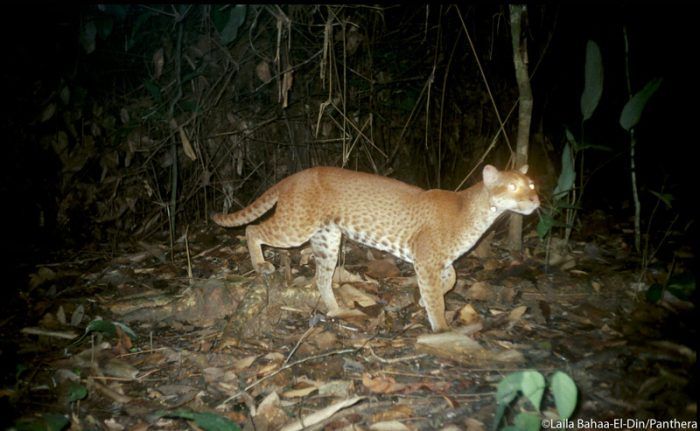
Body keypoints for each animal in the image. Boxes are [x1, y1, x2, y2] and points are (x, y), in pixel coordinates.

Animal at [211, 165, 540, 330]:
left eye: (532, 185)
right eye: (513, 187)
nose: (535, 200)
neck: (480, 211)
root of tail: (295, 175)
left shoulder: (438, 262)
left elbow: (450, 280)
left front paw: (422, 301)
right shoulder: (426, 261)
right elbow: (437, 296)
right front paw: (441, 328)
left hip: (327, 239)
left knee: (321, 277)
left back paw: (337, 310)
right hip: (296, 226)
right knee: (253, 230)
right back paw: (261, 264)